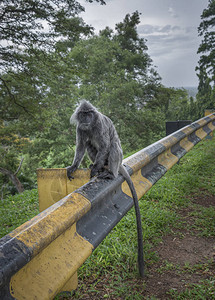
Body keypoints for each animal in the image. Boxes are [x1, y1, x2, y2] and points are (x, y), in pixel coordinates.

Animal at [67, 100, 144, 276]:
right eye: (83, 114)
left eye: (89, 113)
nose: (87, 118)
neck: (90, 125)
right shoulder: (80, 128)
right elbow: (81, 146)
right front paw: (74, 166)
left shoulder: (100, 125)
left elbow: (105, 145)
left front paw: (95, 169)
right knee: (89, 143)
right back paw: (100, 167)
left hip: (116, 157)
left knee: (112, 144)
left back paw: (108, 173)